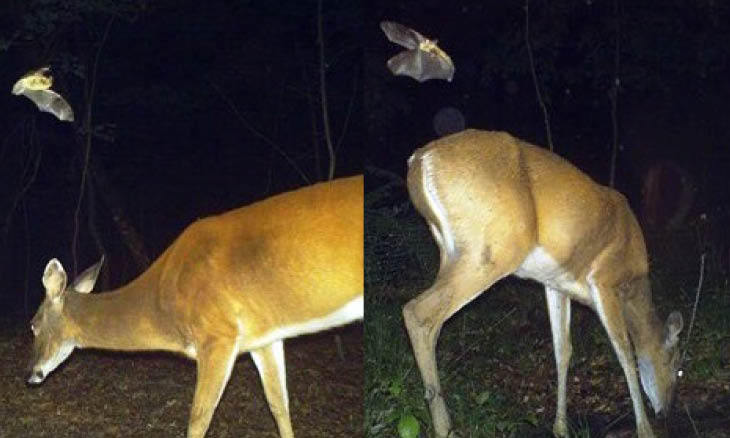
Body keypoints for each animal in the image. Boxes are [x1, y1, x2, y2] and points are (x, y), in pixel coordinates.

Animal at [28, 175, 364, 438]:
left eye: (33, 325)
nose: (31, 374)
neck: (163, 304)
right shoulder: (263, 338)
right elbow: (279, 406)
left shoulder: (218, 334)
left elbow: (199, 418)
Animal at [404, 131, 684, 438]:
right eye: (676, 365)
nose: (665, 411)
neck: (631, 285)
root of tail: (419, 161)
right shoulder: (604, 280)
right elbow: (625, 352)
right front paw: (645, 429)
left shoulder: (556, 284)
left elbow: (563, 350)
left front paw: (560, 427)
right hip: (493, 250)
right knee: (417, 312)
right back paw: (445, 427)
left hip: (453, 251)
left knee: (432, 323)